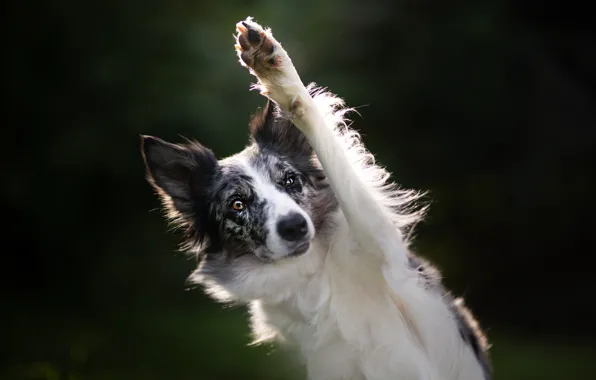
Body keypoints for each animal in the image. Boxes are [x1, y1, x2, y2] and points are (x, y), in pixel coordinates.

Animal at [139, 16, 488, 378]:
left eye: (290, 180)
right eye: (238, 204)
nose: (295, 227)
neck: (313, 276)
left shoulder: (385, 252)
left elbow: (319, 131)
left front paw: (274, 69)